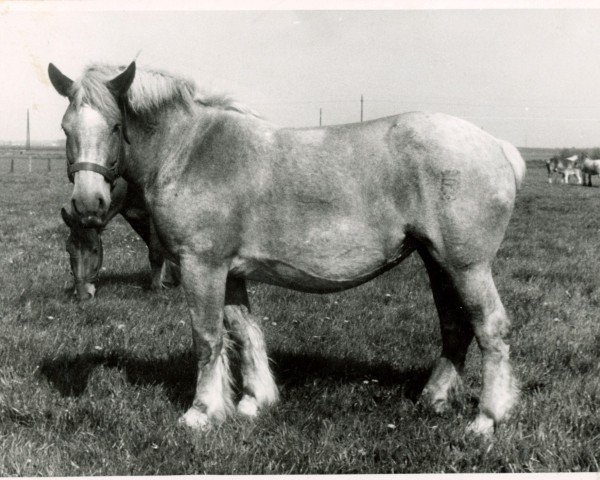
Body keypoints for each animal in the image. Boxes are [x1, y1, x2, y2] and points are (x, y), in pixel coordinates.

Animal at [48, 60, 524, 436]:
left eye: (114, 126)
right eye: (66, 128)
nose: (88, 203)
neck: (189, 150)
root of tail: (497, 145)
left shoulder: (201, 266)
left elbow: (207, 337)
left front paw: (202, 411)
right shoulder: (230, 271)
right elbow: (243, 332)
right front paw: (253, 401)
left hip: (466, 266)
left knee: (491, 329)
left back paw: (486, 418)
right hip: (437, 262)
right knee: (455, 327)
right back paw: (435, 398)